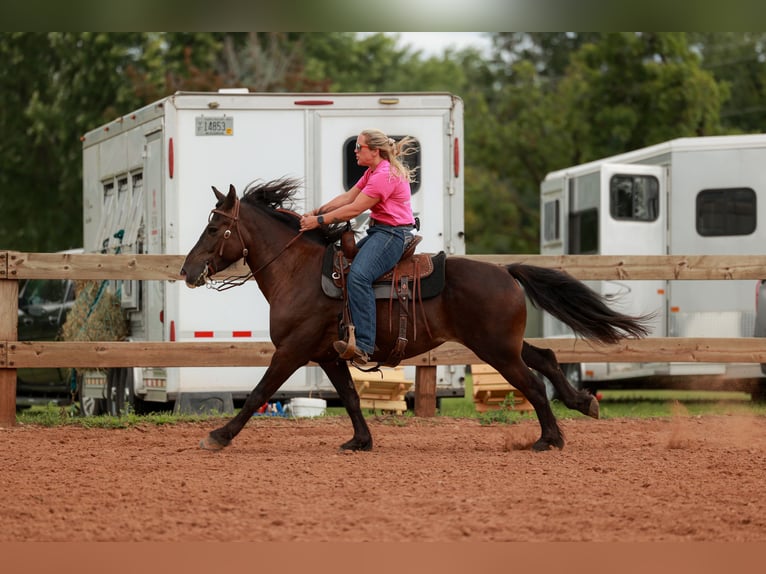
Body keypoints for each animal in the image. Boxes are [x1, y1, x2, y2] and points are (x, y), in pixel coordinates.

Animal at [180, 178, 651, 452]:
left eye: (213, 228)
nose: (186, 270)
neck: (299, 271)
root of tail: (505, 271)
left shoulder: (293, 350)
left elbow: (258, 392)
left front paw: (218, 436)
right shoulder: (329, 354)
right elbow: (351, 397)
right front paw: (360, 441)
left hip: (497, 350)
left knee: (533, 384)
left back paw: (549, 439)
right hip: (504, 344)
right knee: (547, 360)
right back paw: (583, 403)